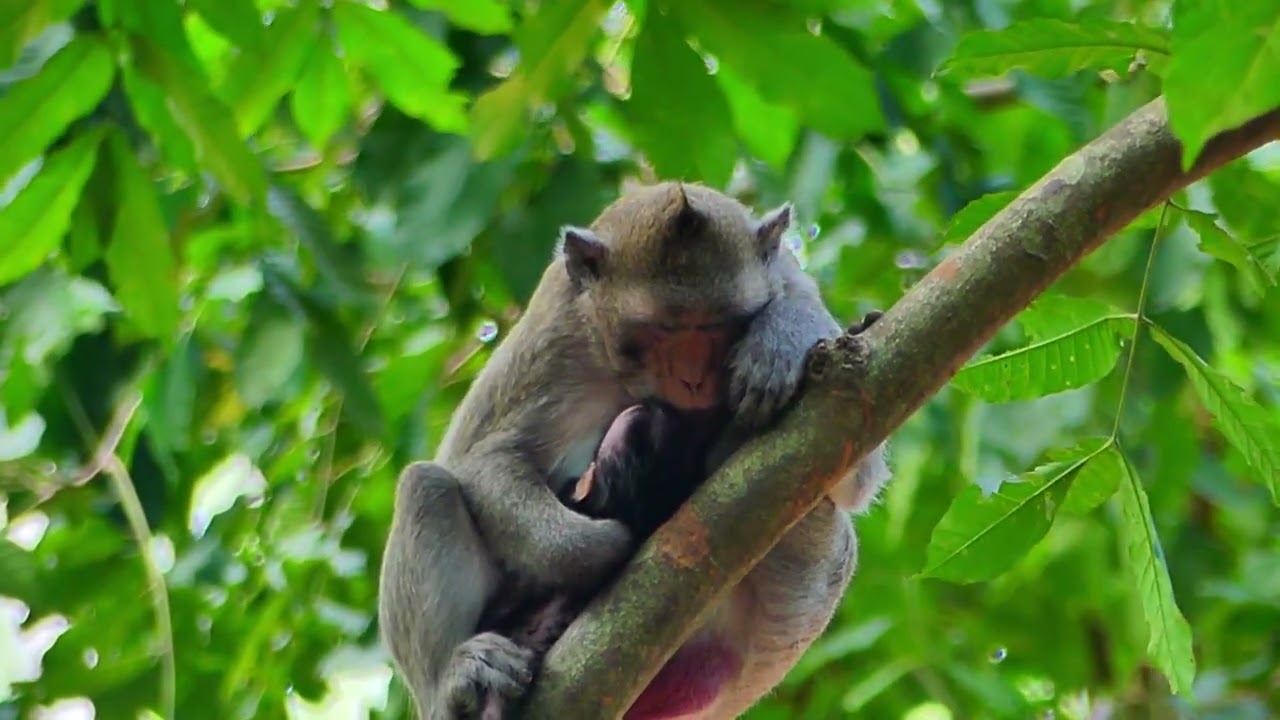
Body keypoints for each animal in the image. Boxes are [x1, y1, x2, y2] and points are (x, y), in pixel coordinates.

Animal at [377, 181, 892, 720]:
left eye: (720, 325)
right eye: (661, 330)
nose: (693, 377)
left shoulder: (792, 279)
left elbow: (852, 468)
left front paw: (784, 337)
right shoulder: (556, 337)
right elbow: (485, 461)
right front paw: (600, 545)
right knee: (427, 487)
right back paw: (457, 681)